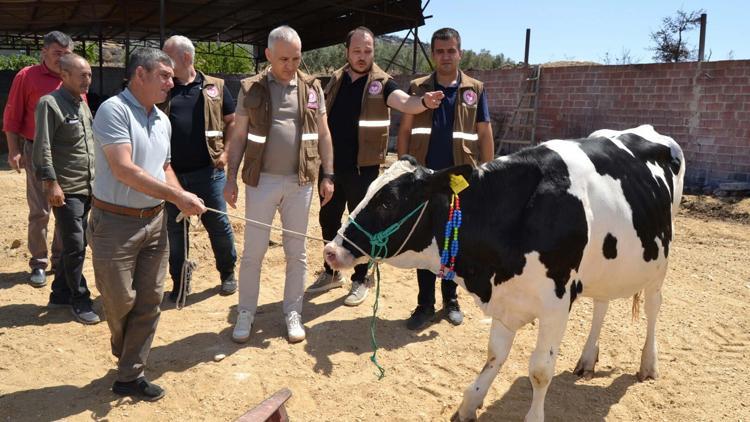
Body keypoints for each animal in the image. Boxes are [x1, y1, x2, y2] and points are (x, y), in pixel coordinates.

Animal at [324, 123, 688, 420]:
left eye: (387, 201)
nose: (331, 250)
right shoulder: (506, 298)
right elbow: (494, 354)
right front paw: (469, 404)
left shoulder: (556, 303)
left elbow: (540, 370)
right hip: (608, 264)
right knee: (602, 303)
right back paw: (587, 360)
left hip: (660, 263)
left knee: (654, 306)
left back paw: (648, 365)